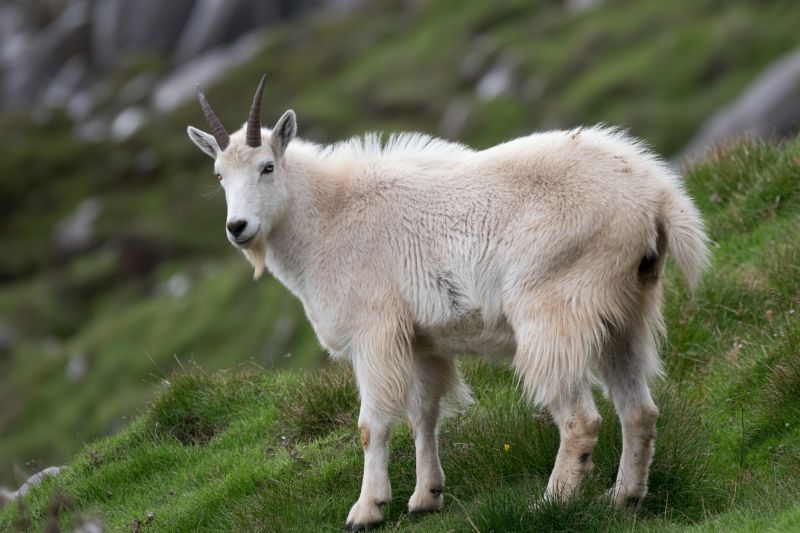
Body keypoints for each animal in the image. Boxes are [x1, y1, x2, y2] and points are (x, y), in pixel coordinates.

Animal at [187, 76, 709, 530]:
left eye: (267, 167)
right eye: (219, 175)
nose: (238, 228)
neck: (328, 218)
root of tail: (656, 197)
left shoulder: (374, 332)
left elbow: (372, 424)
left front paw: (367, 509)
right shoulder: (422, 341)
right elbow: (424, 415)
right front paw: (425, 498)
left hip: (554, 307)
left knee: (580, 417)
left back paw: (551, 503)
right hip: (627, 310)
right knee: (638, 409)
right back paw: (623, 497)